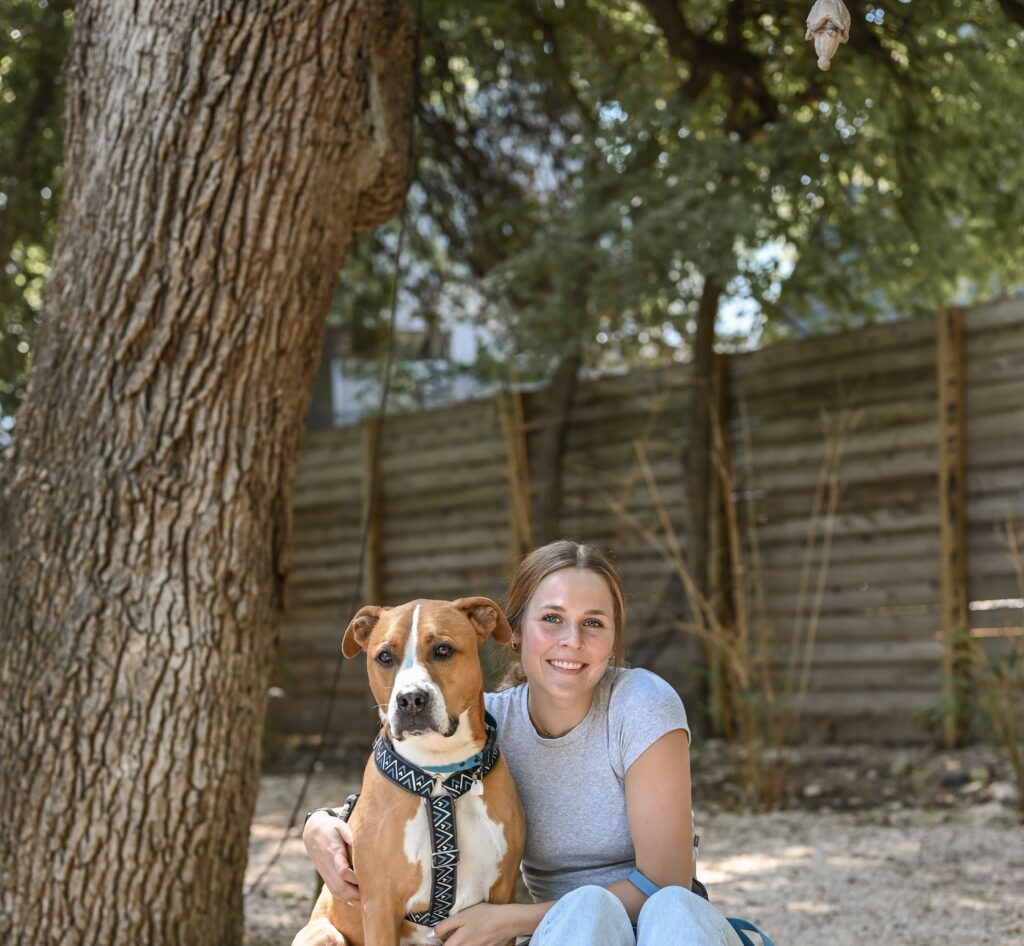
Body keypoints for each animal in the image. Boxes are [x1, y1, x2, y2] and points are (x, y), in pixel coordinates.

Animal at [290, 597, 524, 946]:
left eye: (443, 650)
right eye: (385, 657)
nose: (411, 699)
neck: (438, 775)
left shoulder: (501, 897)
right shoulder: (380, 906)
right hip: (323, 935)